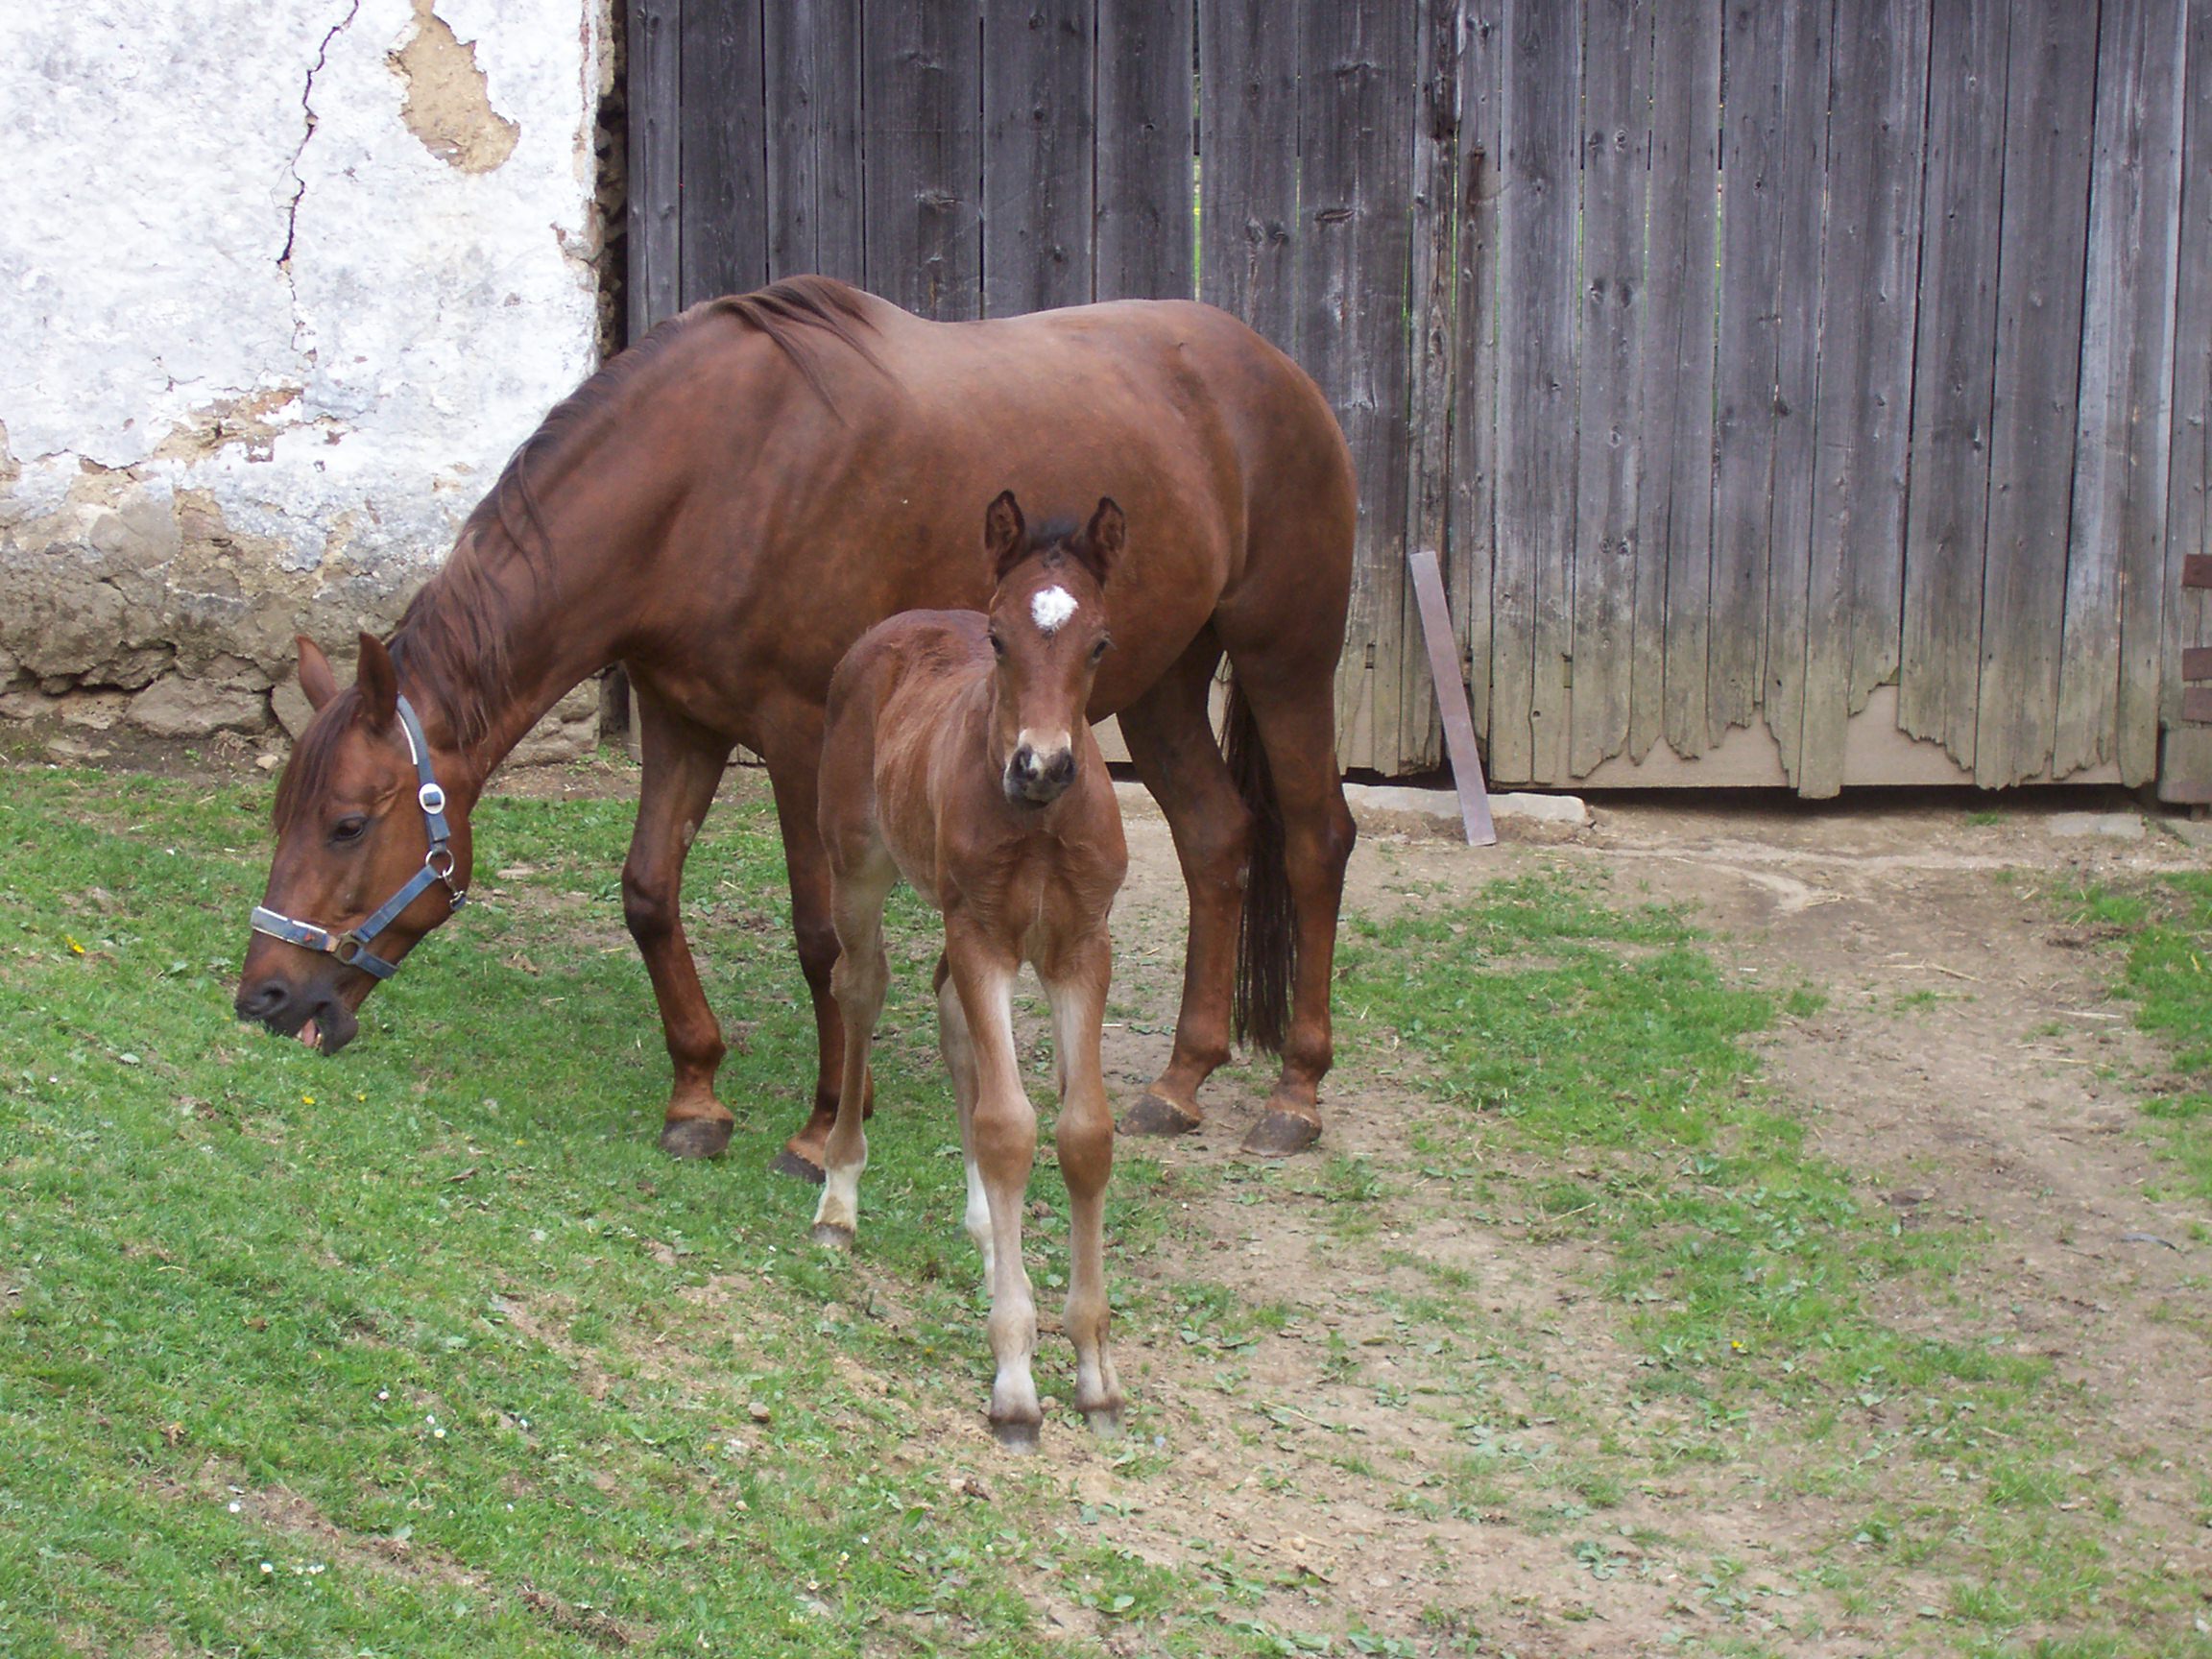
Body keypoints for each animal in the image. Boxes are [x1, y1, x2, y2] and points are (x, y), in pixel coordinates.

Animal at [233, 276, 1354, 1167]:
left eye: (346, 823)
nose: (264, 1002)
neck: (709, 480)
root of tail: (1276, 370)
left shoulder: (801, 735)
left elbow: (826, 937)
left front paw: (823, 1126)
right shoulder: (683, 721)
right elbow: (648, 895)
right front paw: (697, 1096)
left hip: (1284, 662)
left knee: (1313, 841)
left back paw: (1296, 1095)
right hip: (1161, 685)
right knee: (1216, 839)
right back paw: (1180, 1081)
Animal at [809, 486, 1123, 1451]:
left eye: (1100, 642)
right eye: (998, 637)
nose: (1042, 765)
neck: (1040, 824)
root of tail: (898, 623)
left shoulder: (1080, 945)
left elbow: (1081, 1133)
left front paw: (1093, 1370)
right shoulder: (984, 932)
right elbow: (1009, 1126)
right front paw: (1015, 1381)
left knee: (949, 1017)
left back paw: (989, 1238)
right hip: (859, 867)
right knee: (861, 990)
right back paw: (839, 1198)